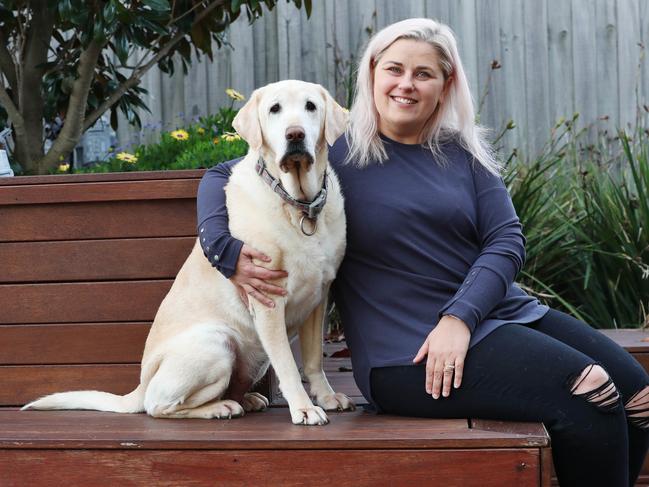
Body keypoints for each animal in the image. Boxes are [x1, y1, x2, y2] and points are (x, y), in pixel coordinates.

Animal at [22, 81, 354, 428]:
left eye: (310, 106)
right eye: (275, 109)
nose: (295, 134)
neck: (297, 203)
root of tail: (139, 387)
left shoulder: (319, 297)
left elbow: (313, 360)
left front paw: (327, 397)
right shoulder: (268, 300)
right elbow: (288, 364)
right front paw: (303, 408)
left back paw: (245, 399)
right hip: (217, 342)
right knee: (159, 406)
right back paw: (220, 407)